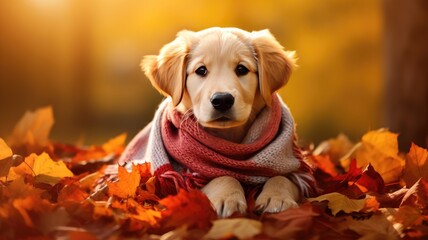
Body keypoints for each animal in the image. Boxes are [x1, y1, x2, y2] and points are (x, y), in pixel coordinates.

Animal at [120, 27, 314, 218]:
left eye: (242, 69)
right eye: (201, 70)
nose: (222, 100)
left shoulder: (300, 173)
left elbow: (284, 178)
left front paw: (277, 198)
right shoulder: (186, 181)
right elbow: (222, 177)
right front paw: (228, 198)